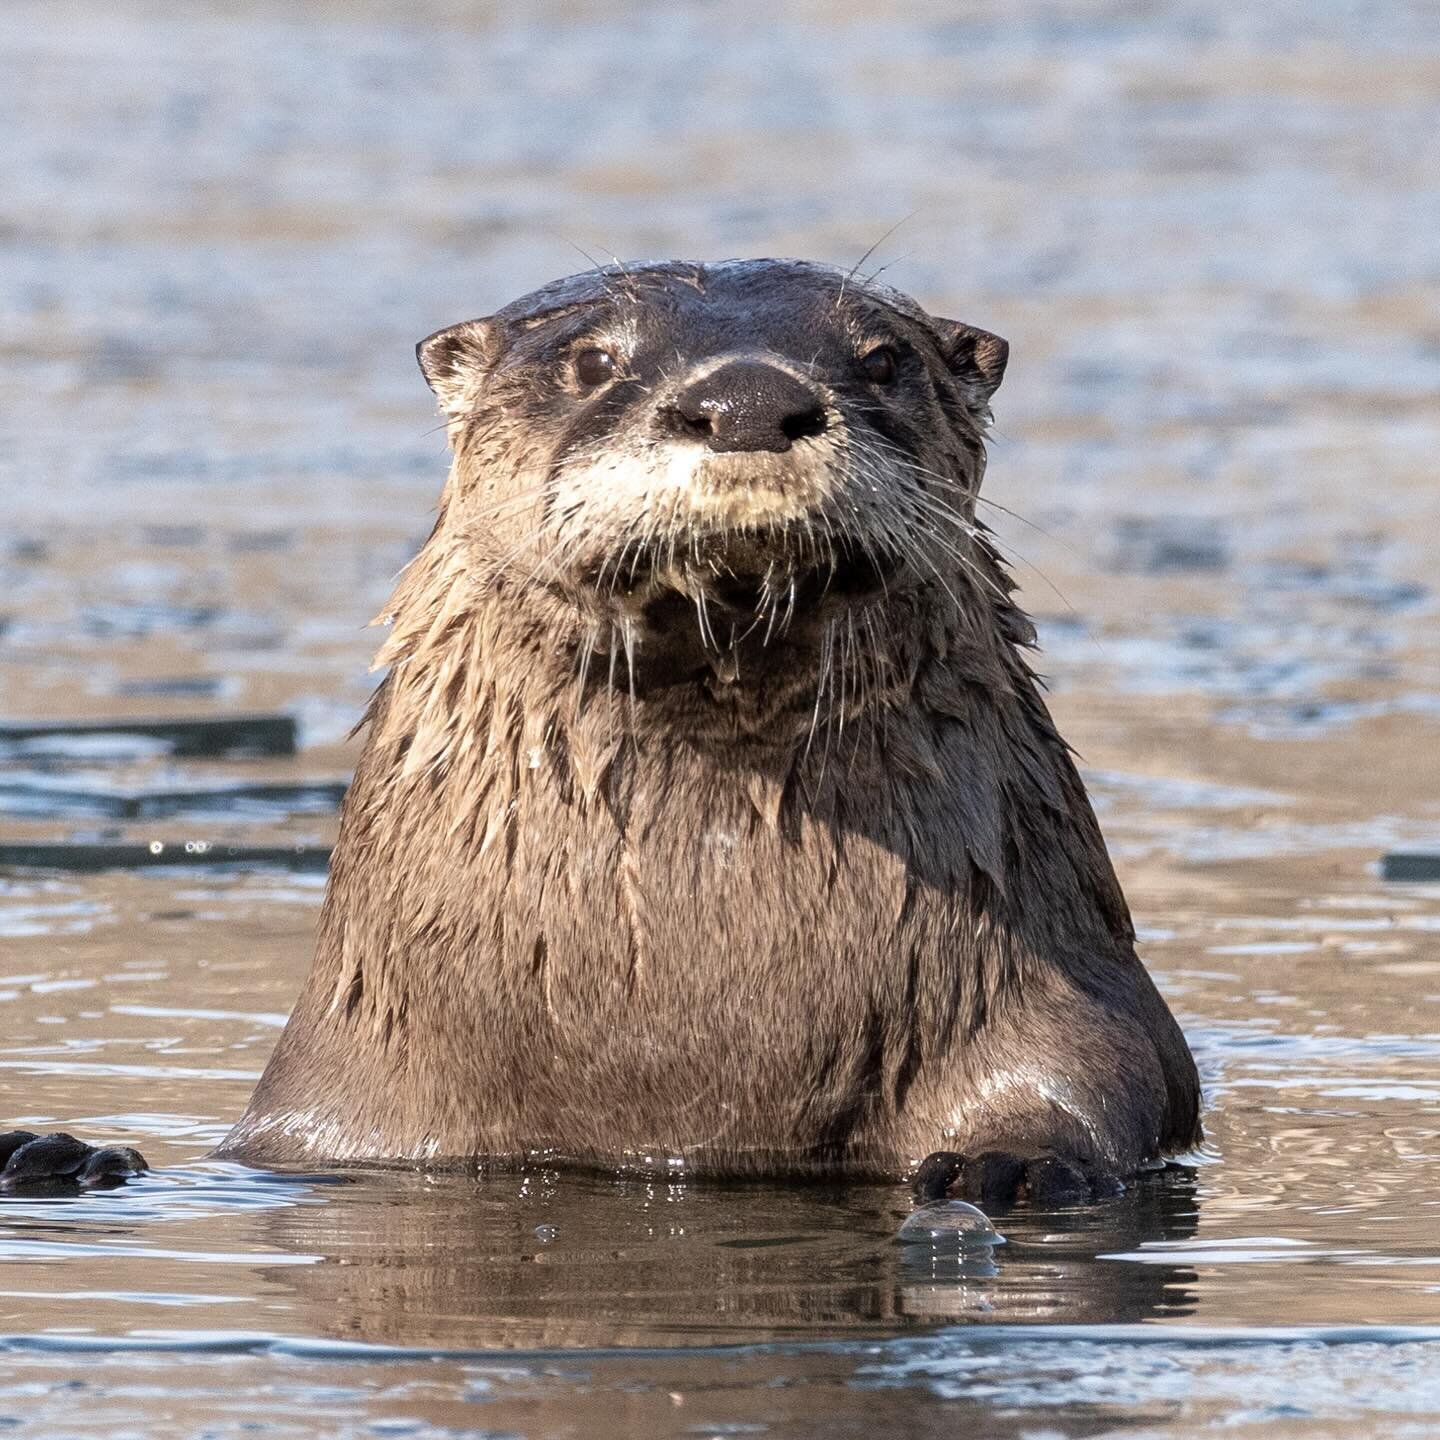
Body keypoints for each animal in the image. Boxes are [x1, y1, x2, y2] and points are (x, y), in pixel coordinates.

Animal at [14, 264, 1203, 1209]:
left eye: (882, 357)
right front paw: (55, 1150)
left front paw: (1017, 1164)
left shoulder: (1058, 1008)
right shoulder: (348, 1107)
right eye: (589, 359)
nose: (747, 397)